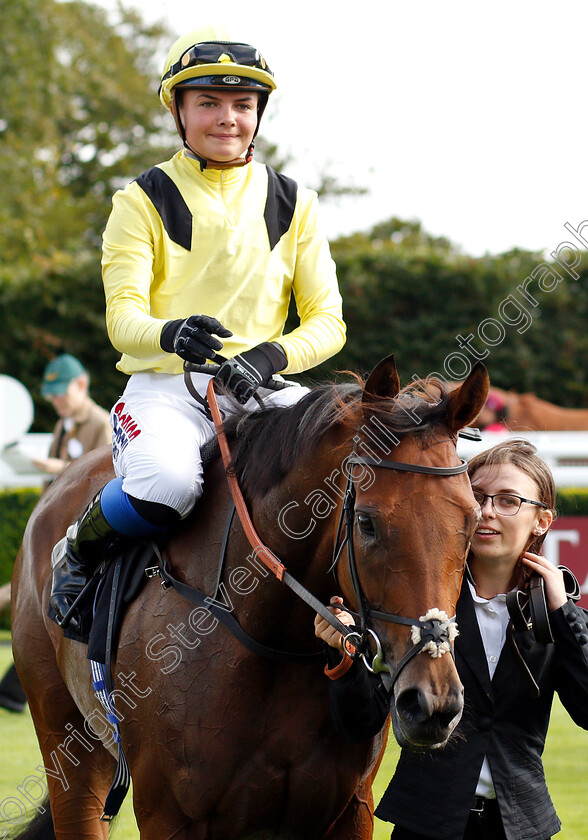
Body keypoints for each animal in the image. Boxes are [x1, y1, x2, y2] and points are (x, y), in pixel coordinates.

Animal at [11, 356, 486, 840]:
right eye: (367, 522)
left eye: (471, 522)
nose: (432, 703)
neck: (275, 645)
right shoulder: (169, 813)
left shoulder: (351, 810)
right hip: (67, 745)